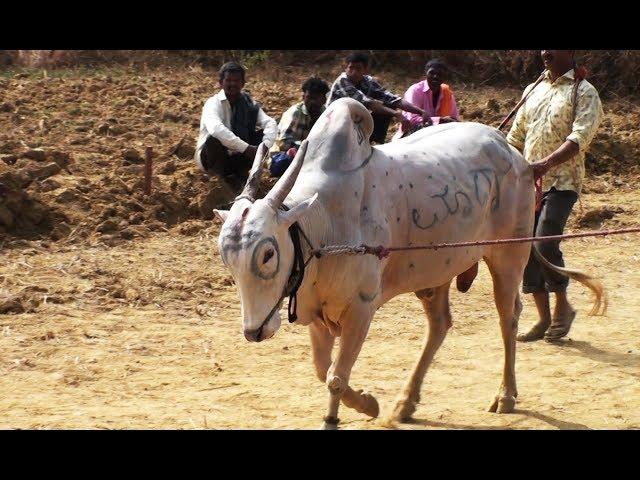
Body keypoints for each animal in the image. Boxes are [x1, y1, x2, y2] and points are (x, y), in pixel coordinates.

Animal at [216, 96, 604, 428]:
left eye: (267, 254)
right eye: (227, 259)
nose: (253, 331)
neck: (322, 223)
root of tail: (518, 156)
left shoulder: (361, 309)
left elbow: (336, 378)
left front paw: (360, 407)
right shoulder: (316, 312)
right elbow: (322, 370)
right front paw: (358, 407)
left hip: (509, 256)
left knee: (508, 317)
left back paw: (506, 395)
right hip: (437, 274)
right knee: (440, 325)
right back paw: (406, 402)